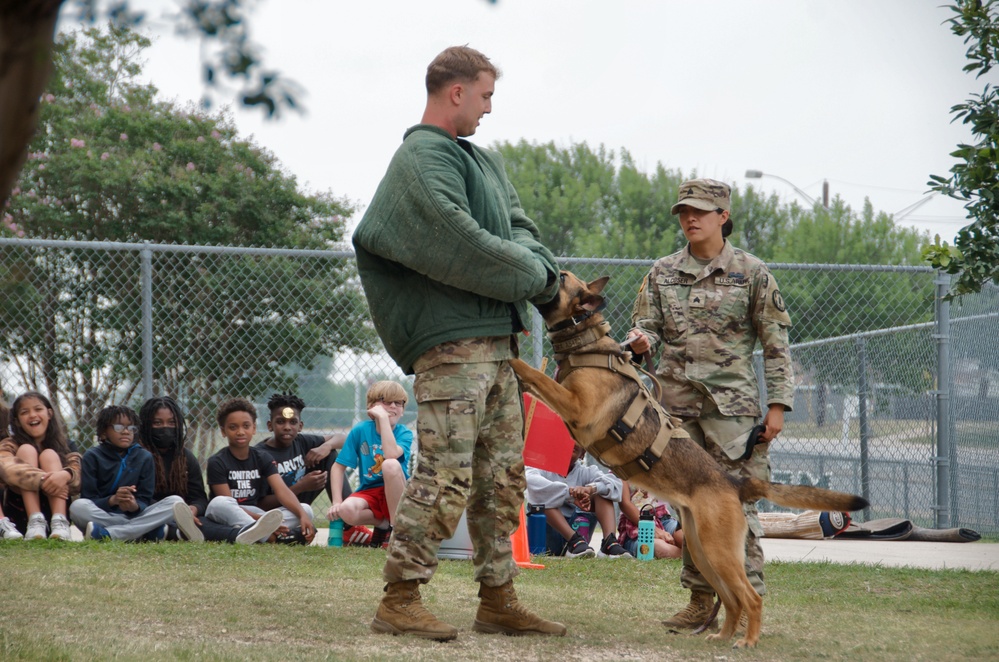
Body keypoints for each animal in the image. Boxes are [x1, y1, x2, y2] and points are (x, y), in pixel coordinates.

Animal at [512, 272, 872, 648]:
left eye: (561, 278)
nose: (548, 271)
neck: (587, 341)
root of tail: (735, 482)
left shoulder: (576, 407)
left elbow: (533, 374)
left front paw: (511, 358)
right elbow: (536, 380)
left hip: (719, 552)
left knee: (750, 597)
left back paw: (747, 640)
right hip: (703, 552)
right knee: (731, 599)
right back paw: (721, 635)